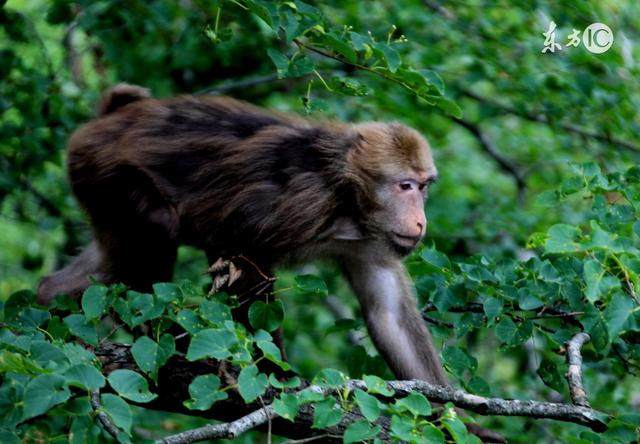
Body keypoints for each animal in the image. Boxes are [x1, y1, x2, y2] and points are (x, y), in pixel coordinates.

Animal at [38, 84, 504, 440]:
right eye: (405, 186)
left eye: (424, 187)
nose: (421, 219)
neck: (348, 200)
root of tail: (112, 115)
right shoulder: (301, 201)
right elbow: (237, 242)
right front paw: (273, 376)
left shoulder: (374, 239)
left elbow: (388, 313)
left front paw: (456, 421)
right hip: (106, 171)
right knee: (156, 223)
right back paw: (157, 340)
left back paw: (48, 307)